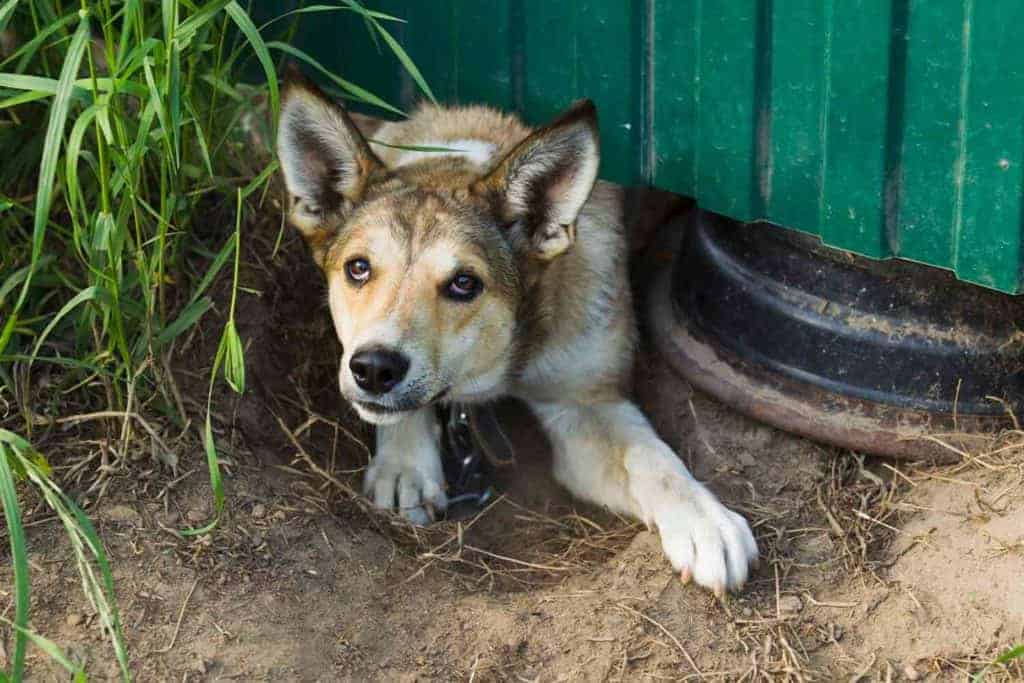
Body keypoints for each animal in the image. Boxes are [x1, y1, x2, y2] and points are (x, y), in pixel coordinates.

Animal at [276, 66, 757, 593]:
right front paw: (404, 465)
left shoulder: (585, 400)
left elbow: (652, 459)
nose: (375, 369)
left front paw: (703, 519)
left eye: (464, 283)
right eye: (358, 268)